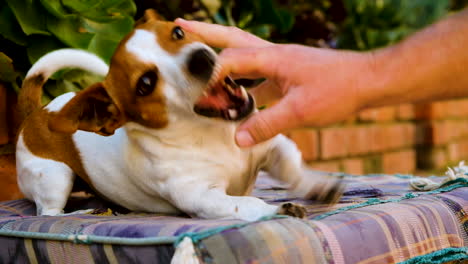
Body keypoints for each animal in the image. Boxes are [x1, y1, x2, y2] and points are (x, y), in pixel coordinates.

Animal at [15, 9, 344, 221]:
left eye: (178, 32)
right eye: (146, 84)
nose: (200, 58)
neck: (212, 135)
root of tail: (36, 112)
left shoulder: (270, 147)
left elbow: (292, 168)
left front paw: (317, 186)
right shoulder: (204, 198)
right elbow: (245, 203)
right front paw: (277, 209)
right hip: (55, 177)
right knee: (47, 213)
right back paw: (80, 212)